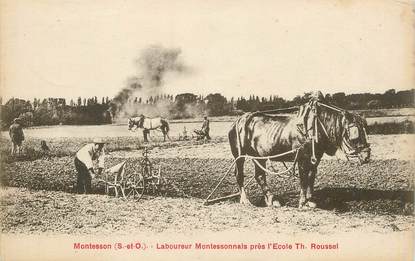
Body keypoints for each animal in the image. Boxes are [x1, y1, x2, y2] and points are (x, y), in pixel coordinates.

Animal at [229, 99, 372, 207]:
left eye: (365, 130)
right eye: (355, 132)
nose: (366, 156)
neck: (314, 127)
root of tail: (238, 121)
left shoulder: (315, 159)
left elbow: (310, 177)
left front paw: (310, 200)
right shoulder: (302, 158)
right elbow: (303, 179)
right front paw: (302, 202)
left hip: (259, 156)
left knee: (260, 176)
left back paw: (271, 199)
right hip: (239, 156)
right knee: (239, 174)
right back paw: (245, 200)